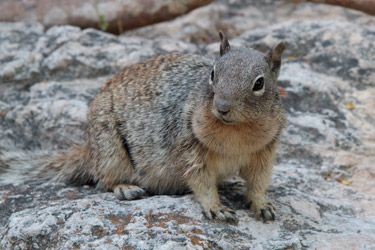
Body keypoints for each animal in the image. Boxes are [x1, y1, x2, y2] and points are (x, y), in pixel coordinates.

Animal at [0, 31, 284, 223]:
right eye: (213, 74)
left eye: (259, 83)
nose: (222, 106)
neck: (236, 131)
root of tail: (89, 151)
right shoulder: (188, 145)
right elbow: (201, 180)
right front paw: (216, 207)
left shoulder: (265, 150)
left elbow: (258, 181)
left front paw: (263, 205)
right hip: (110, 149)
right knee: (103, 181)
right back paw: (125, 188)